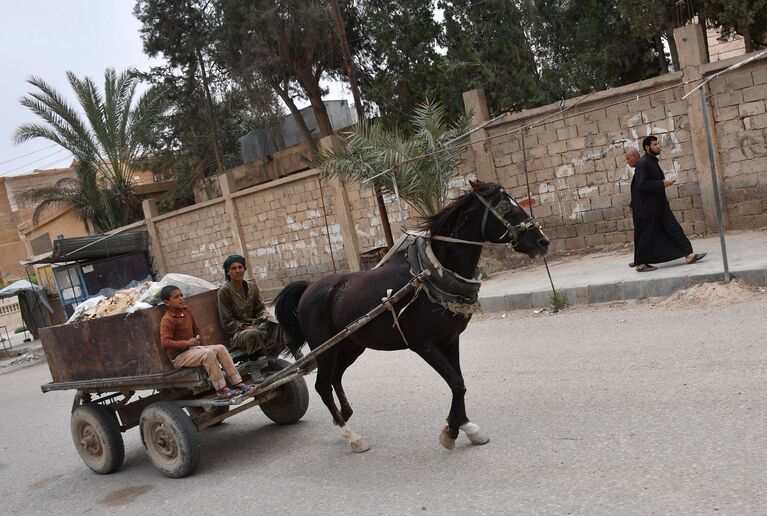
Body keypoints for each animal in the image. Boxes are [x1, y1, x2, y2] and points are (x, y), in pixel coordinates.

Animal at [276, 180, 552, 452]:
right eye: (505, 207)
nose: (543, 242)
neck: (431, 274)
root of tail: (309, 288)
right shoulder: (423, 345)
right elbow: (456, 383)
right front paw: (452, 431)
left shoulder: (450, 339)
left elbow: (459, 381)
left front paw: (465, 426)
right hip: (326, 349)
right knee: (322, 385)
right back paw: (351, 435)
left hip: (350, 346)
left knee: (335, 378)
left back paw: (343, 416)